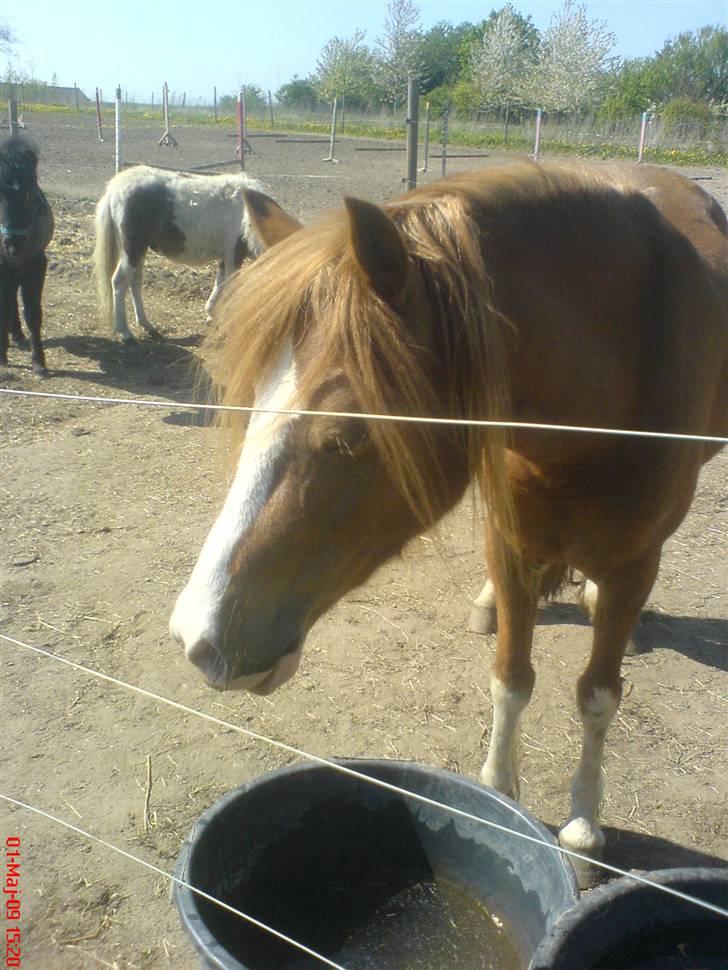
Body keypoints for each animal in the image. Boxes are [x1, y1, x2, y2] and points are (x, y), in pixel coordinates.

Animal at [91, 166, 284, 344]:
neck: (246, 212)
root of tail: (114, 189)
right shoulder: (233, 254)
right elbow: (229, 287)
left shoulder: (226, 257)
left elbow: (220, 284)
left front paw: (211, 314)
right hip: (133, 248)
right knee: (120, 282)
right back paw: (125, 332)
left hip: (139, 251)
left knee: (135, 283)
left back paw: (148, 326)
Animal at [172, 163, 728, 880]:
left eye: (349, 434)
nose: (198, 636)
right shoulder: (511, 542)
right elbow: (511, 678)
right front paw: (501, 798)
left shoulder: (635, 563)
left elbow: (597, 696)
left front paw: (582, 828)